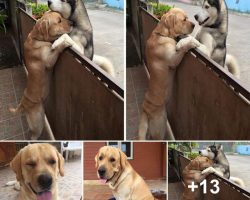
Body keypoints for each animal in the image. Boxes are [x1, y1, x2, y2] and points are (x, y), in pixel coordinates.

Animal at [9, 11, 73, 139]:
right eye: (59, 21)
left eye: (62, 17)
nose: (72, 23)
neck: (37, 38)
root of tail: (23, 104)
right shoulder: (49, 61)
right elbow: (57, 48)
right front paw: (63, 43)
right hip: (37, 122)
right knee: (33, 136)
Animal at [138, 7, 200, 139]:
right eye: (184, 19)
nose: (194, 25)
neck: (162, 34)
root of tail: (145, 110)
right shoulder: (173, 60)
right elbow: (182, 47)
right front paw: (191, 42)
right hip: (160, 125)